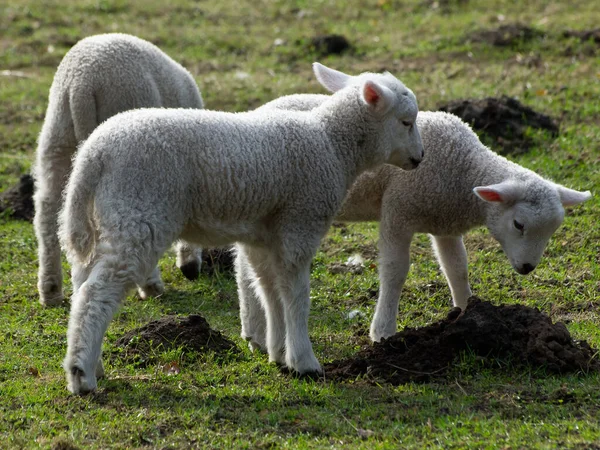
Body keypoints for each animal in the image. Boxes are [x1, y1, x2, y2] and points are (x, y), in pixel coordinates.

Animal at [34, 31, 205, 306]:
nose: (191, 272)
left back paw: (50, 291)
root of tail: (81, 84)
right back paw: (151, 286)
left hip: (57, 135)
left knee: (48, 212)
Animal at [56, 63, 422, 394]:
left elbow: (271, 291)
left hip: (108, 217)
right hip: (138, 213)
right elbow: (296, 295)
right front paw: (304, 362)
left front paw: (278, 354)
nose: (420, 158)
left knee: (82, 283)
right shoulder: (300, 223)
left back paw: (93, 364)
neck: (331, 145)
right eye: (406, 122)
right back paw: (81, 377)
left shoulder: (265, 237)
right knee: (95, 293)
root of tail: (93, 154)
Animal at [236, 96, 592, 352]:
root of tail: (258, 111)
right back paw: (255, 329)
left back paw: (254, 329)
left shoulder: (445, 224)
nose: (528, 268)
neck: (464, 169)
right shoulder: (399, 210)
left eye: (552, 231)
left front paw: (468, 313)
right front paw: (383, 332)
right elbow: (395, 271)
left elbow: (457, 268)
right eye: (519, 224)